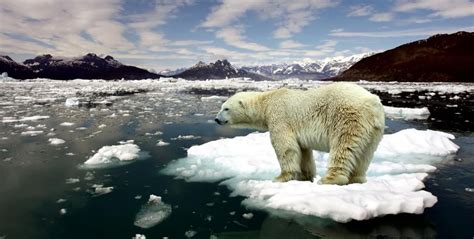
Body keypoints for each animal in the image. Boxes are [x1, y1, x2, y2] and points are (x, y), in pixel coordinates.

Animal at [215, 82, 386, 185]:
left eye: (226, 108)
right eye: (222, 107)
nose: (216, 119)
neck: (267, 102)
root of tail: (372, 103)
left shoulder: (280, 117)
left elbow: (285, 147)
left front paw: (281, 177)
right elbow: (303, 151)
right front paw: (305, 176)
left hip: (347, 117)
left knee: (343, 147)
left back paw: (329, 179)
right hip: (374, 130)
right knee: (365, 154)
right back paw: (357, 179)